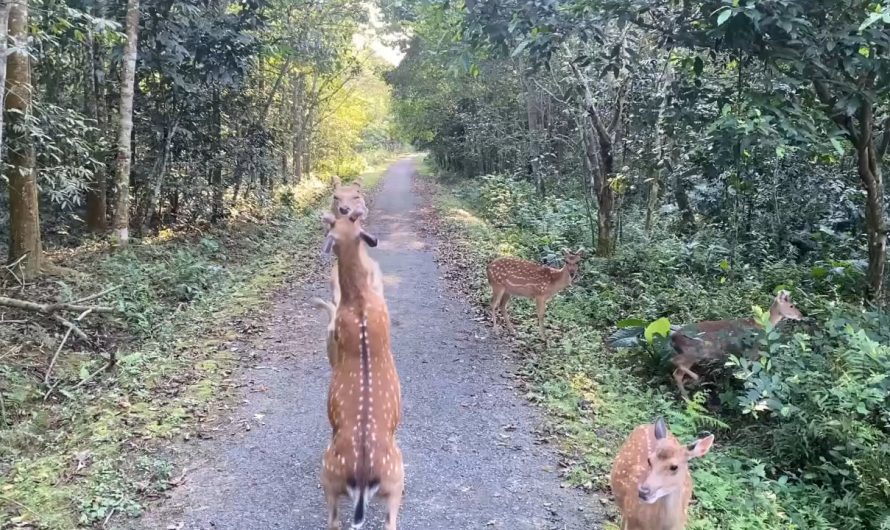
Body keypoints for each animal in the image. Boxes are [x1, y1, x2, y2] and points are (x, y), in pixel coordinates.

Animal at [607, 291, 804, 398]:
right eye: (792, 305)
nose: (801, 316)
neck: (760, 326)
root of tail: (672, 336)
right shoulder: (750, 351)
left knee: (677, 372)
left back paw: (687, 396)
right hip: (694, 351)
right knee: (676, 365)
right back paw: (695, 380)